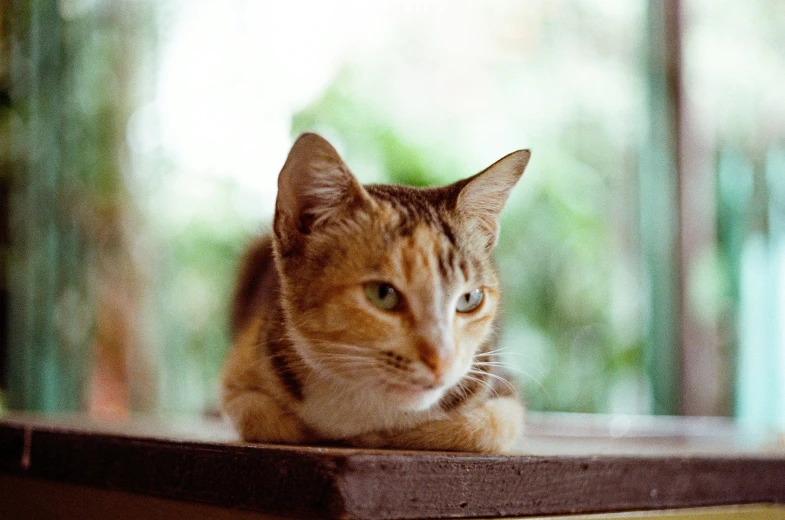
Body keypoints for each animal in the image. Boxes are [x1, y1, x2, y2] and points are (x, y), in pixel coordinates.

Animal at [217, 133, 528, 450]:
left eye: (470, 299)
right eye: (382, 294)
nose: (442, 361)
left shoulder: (500, 390)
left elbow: (483, 428)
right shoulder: (239, 372)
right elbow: (260, 417)